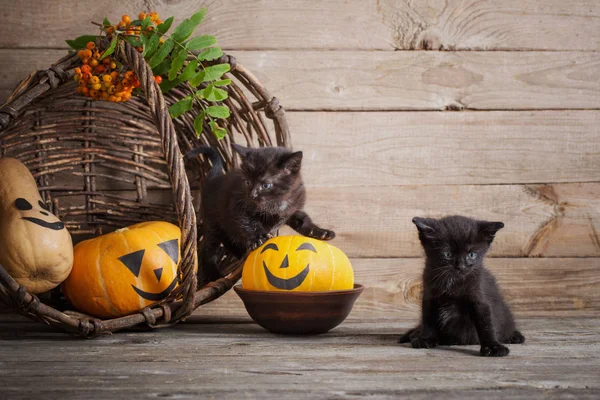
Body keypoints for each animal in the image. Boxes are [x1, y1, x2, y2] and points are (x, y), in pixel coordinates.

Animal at [189, 144, 336, 284]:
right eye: (247, 182)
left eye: (265, 185)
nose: (252, 195)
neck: (277, 201)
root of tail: (214, 179)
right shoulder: (238, 205)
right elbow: (249, 222)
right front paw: (259, 238)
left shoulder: (292, 209)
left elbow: (303, 220)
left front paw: (320, 232)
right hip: (213, 221)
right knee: (209, 247)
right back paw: (213, 275)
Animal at [398, 216, 524, 356]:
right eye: (447, 254)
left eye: (472, 254)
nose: (461, 266)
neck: (453, 283)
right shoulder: (430, 296)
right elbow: (428, 318)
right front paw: (425, 339)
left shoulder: (479, 296)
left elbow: (486, 323)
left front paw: (493, 346)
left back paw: (514, 336)